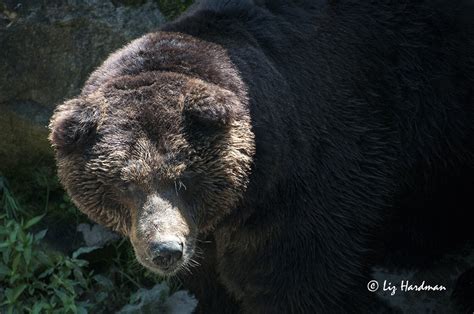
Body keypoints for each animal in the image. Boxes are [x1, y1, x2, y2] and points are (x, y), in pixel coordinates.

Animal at [49, 0, 474, 312]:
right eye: (125, 182)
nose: (166, 250)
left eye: (183, 177)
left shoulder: (326, 162)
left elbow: (296, 278)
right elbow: (210, 282)